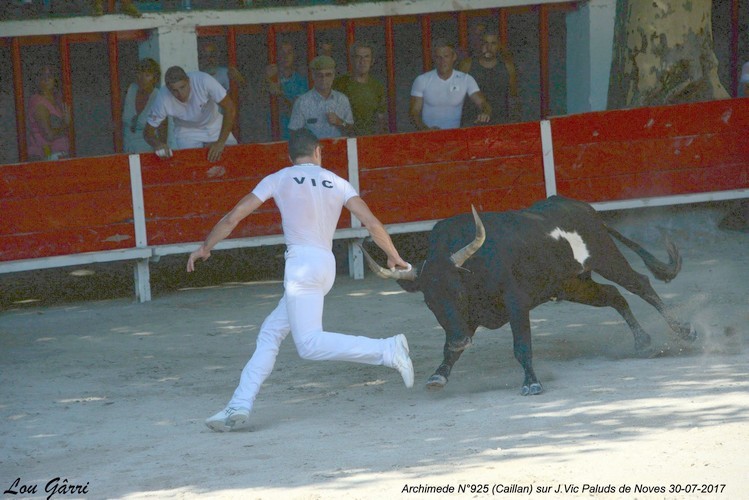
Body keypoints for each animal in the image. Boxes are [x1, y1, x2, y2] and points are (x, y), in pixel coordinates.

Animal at [362, 195, 696, 394]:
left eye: (458, 292)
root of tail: (585, 208)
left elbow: (521, 345)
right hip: (572, 285)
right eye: (429, 302)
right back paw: (642, 341)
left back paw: (684, 331)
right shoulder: (466, 321)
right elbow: (449, 350)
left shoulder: (516, 304)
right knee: (614, 295)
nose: (459, 339)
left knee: (640, 284)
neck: (475, 267)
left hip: (607, 257)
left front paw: (532, 382)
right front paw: (438, 375)